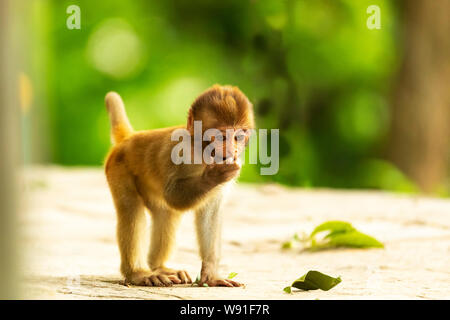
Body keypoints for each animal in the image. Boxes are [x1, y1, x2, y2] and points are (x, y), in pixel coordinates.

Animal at [103, 84, 255, 286]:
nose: (232, 150)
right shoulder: (178, 154)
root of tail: (129, 138)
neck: (200, 150)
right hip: (119, 169)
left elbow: (210, 212)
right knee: (131, 210)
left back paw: (159, 267)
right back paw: (139, 273)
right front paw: (213, 176)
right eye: (221, 137)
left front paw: (211, 276)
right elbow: (173, 196)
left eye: (238, 136)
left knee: (165, 215)